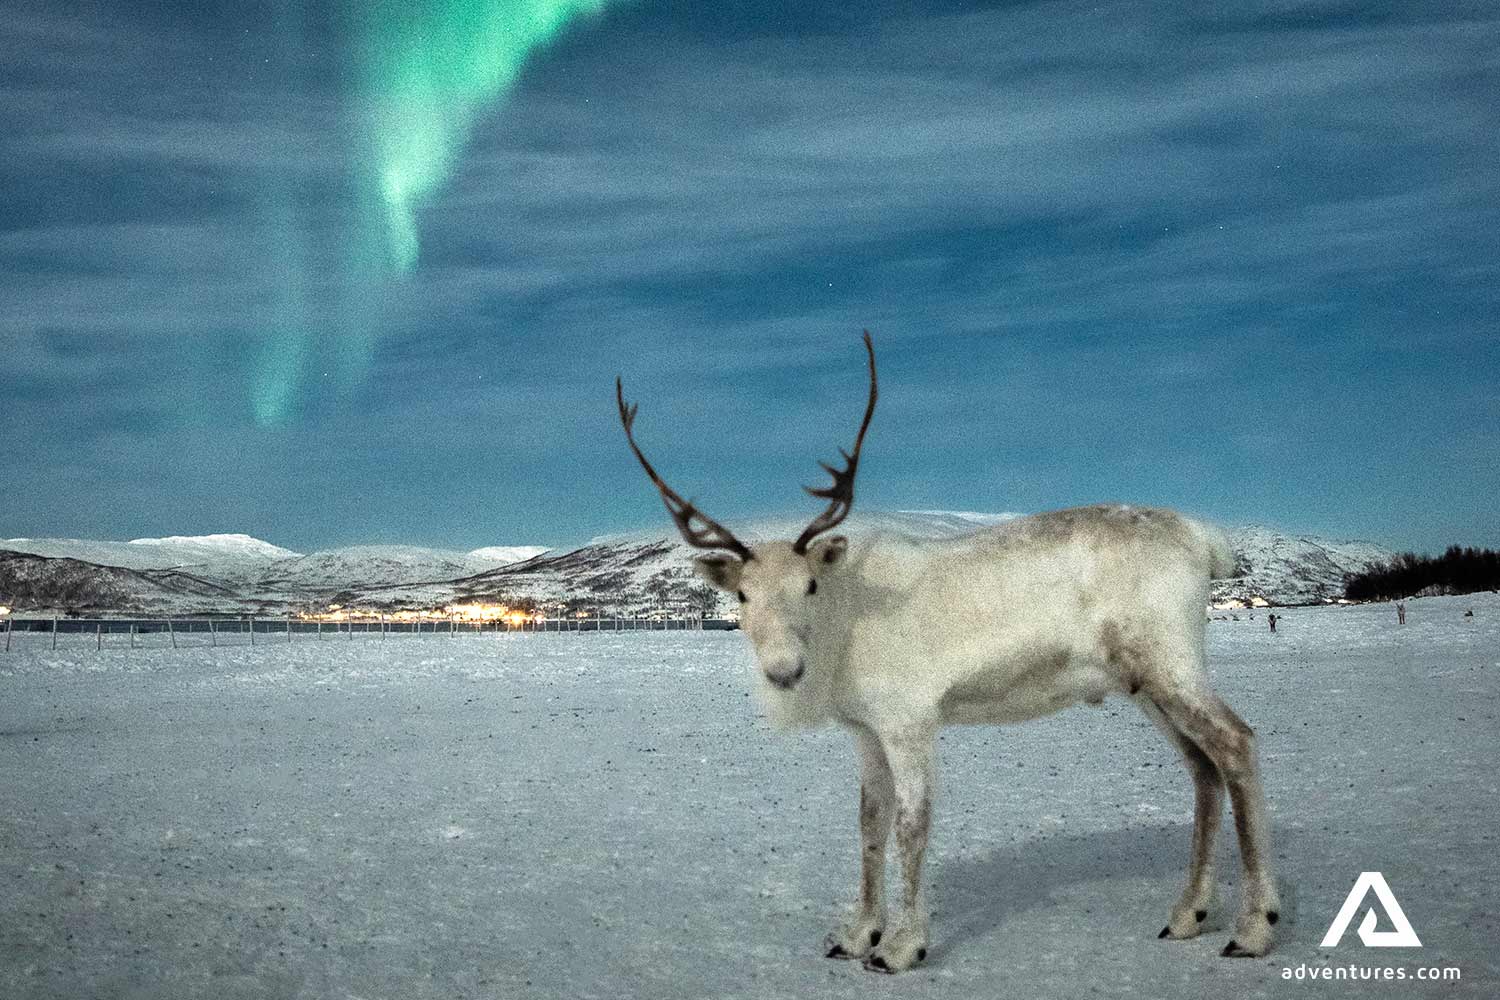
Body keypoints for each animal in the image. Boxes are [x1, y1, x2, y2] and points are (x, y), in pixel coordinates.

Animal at [615, 332, 1280, 973]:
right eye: (743, 594)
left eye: (809, 585)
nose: (784, 670)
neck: (842, 627)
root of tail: (1206, 540)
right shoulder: (866, 729)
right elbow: (869, 824)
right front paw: (856, 933)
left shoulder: (910, 721)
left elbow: (912, 826)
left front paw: (901, 946)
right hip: (1142, 681)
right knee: (1201, 767)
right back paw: (1188, 914)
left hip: (1172, 660)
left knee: (1236, 742)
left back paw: (1254, 927)